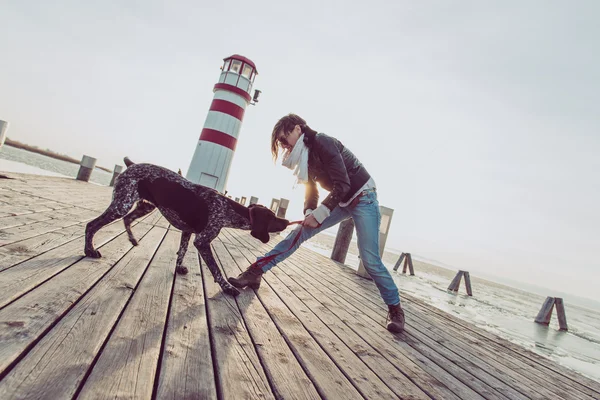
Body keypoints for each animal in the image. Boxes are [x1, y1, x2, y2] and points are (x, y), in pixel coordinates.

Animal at [85, 158, 290, 296]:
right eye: (273, 217)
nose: (288, 222)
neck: (227, 210)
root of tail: (132, 164)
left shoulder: (187, 232)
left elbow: (181, 251)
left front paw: (179, 268)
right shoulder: (202, 241)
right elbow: (216, 269)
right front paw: (227, 287)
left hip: (145, 206)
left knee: (127, 220)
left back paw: (133, 239)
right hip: (122, 205)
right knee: (91, 225)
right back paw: (90, 250)